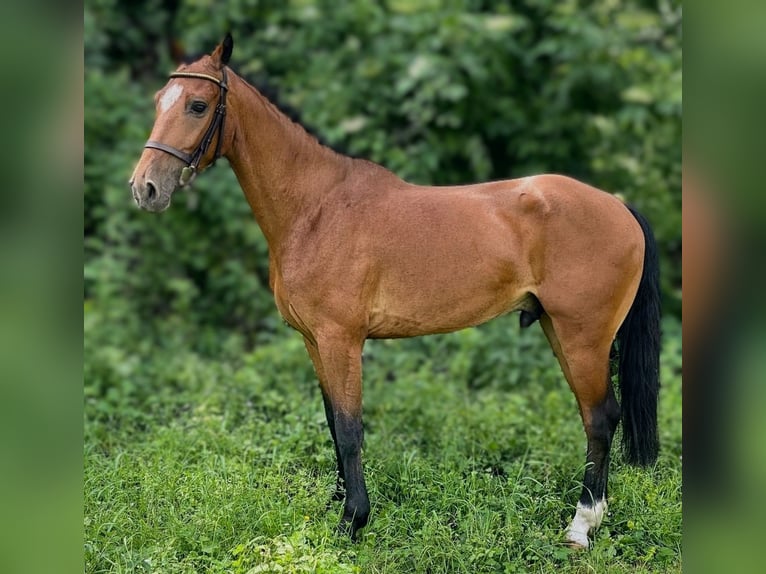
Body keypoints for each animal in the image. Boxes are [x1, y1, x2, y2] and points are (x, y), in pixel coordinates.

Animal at [129, 34, 660, 549]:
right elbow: (332, 422)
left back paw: (580, 526)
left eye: (198, 105)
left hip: (582, 337)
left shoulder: (341, 340)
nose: (145, 188)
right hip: (559, 330)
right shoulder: (315, 341)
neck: (316, 208)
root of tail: (619, 207)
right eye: (158, 101)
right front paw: (337, 508)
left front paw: (352, 523)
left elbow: (349, 430)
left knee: (599, 418)